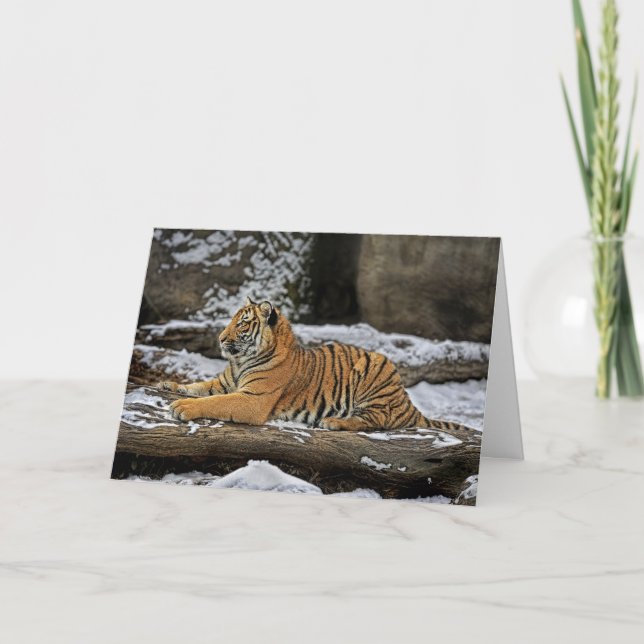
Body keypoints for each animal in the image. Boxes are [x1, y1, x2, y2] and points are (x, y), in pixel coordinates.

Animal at [159, 297, 464, 432]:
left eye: (243, 323)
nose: (221, 338)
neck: (240, 361)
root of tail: (407, 401)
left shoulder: (253, 399)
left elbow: (214, 402)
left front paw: (182, 408)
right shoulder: (222, 383)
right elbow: (199, 386)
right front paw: (168, 384)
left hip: (375, 370)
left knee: (373, 421)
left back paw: (333, 422)